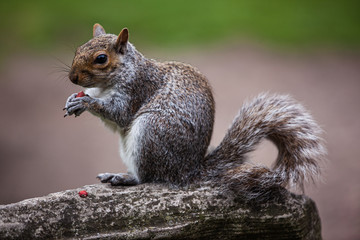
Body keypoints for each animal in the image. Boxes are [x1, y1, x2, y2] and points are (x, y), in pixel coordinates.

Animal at [64, 23, 326, 201]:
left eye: (101, 58)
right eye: (78, 48)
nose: (72, 78)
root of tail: (188, 172)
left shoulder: (137, 89)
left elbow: (119, 114)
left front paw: (86, 103)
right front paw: (73, 99)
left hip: (150, 133)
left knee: (150, 177)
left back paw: (127, 178)